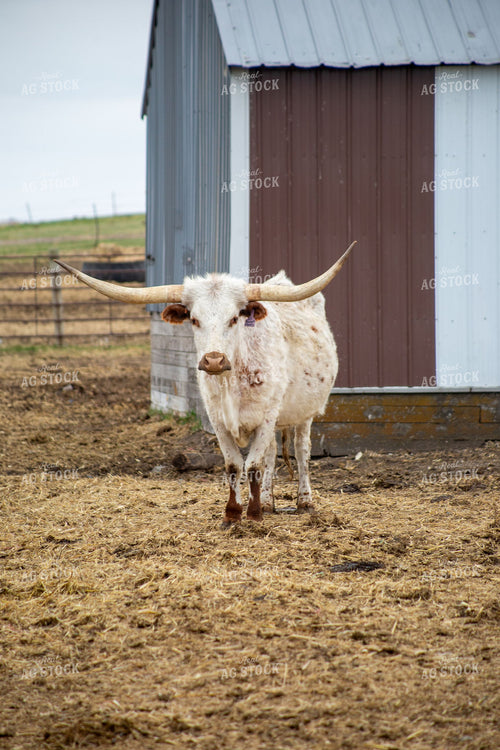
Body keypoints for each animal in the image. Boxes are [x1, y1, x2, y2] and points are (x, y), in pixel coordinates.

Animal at [55, 241, 355, 527]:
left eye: (234, 318)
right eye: (194, 319)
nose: (213, 360)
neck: (231, 381)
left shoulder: (266, 417)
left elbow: (253, 466)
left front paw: (254, 515)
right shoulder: (218, 420)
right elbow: (234, 466)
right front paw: (233, 514)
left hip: (304, 413)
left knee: (302, 451)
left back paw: (304, 501)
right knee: (272, 453)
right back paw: (269, 502)